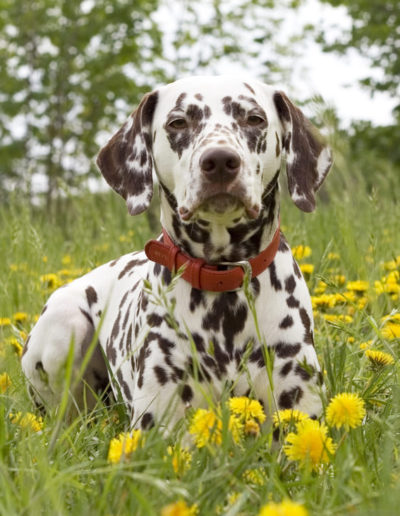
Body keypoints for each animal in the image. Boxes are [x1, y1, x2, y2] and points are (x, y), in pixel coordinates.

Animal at [22, 75, 334, 432]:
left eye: (254, 118)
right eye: (178, 122)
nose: (220, 161)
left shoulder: (301, 417)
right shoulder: (157, 426)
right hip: (65, 328)